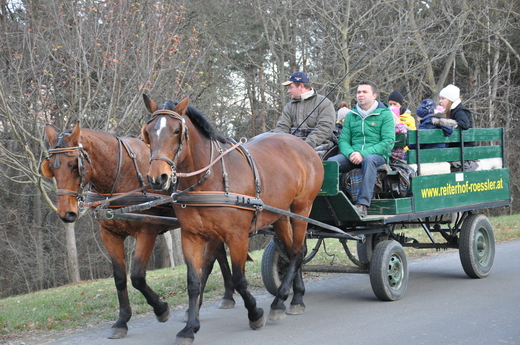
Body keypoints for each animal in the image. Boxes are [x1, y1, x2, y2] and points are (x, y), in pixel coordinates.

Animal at [40, 122, 236, 338]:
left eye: (74, 165)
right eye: (51, 168)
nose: (67, 213)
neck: (122, 173)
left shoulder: (147, 232)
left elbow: (137, 277)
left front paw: (161, 309)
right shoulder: (109, 234)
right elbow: (119, 278)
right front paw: (121, 321)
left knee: (209, 262)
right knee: (219, 255)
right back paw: (227, 295)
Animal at [140, 95, 322, 342]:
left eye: (177, 130)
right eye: (148, 132)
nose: (157, 178)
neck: (210, 179)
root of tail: (302, 145)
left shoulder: (237, 237)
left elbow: (239, 278)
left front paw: (255, 314)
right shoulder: (192, 237)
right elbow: (194, 282)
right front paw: (190, 327)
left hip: (302, 208)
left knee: (296, 252)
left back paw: (280, 302)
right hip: (281, 215)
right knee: (295, 249)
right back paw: (295, 298)